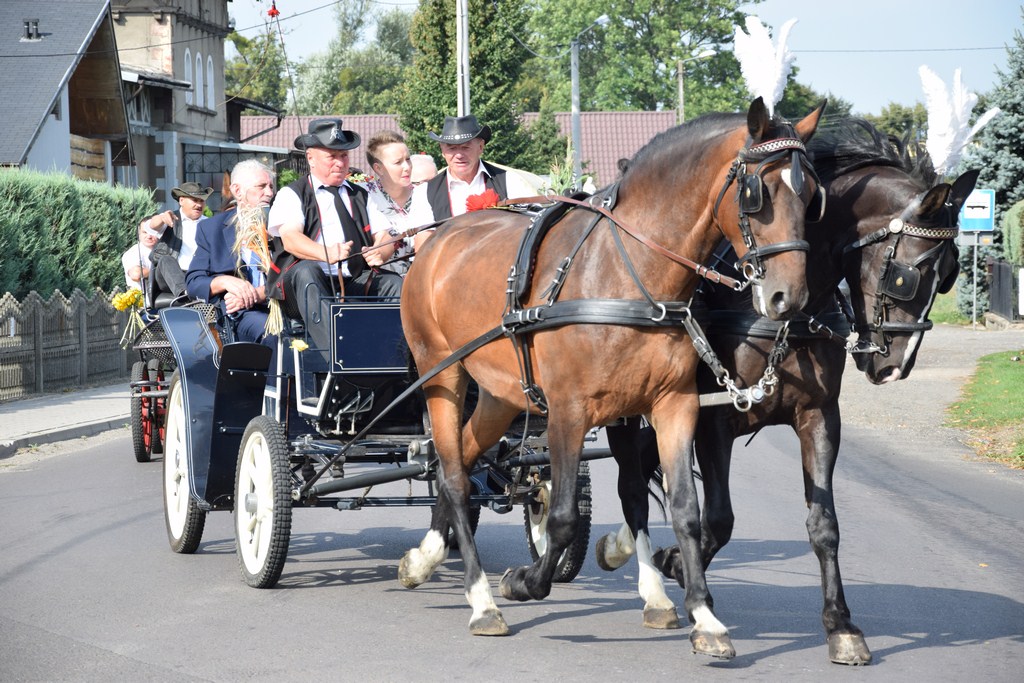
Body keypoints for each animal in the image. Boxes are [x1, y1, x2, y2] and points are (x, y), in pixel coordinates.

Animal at [395, 97, 827, 651]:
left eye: (811, 195)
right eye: (758, 193)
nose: (788, 298)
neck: (629, 273)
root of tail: (438, 238)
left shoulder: (672, 406)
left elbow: (684, 510)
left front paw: (702, 616)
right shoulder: (568, 411)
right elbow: (561, 517)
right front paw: (525, 582)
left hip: (498, 395)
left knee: (464, 460)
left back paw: (425, 557)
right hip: (442, 378)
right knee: (452, 476)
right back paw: (481, 599)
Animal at [598, 120, 978, 663]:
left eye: (948, 276)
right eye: (909, 274)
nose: (894, 367)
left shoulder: (819, 417)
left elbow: (824, 524)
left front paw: (841, 624)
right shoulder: (714, 421)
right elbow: (720, 518)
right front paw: (679, 568)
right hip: (627, 414)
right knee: (631, 488)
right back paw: (639, 576)